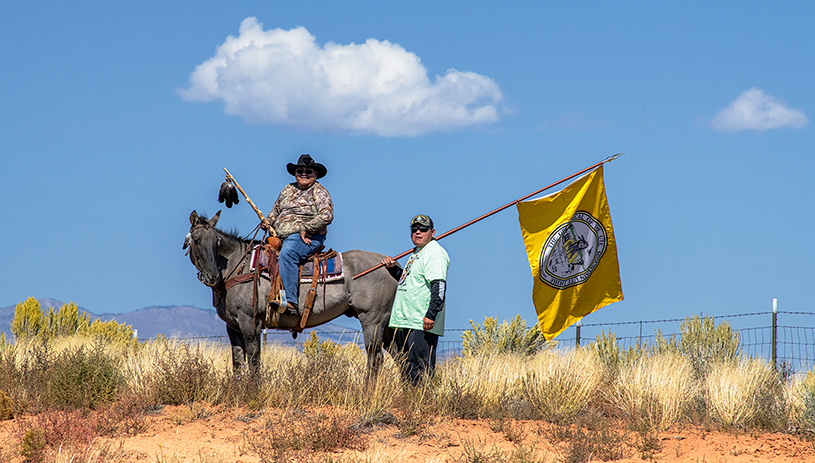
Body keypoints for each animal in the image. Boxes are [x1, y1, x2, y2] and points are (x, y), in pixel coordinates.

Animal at [186, 211, 402, 376]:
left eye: (217, 242)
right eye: (196, 241)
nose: (212, 276)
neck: (240, 267)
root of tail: (389, 263)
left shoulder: (250, 322)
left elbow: (254, 360)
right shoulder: (232, 326)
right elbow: (238, 363)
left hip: (372, 320)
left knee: (375, 359)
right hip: (386, 324)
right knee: (400, 357)